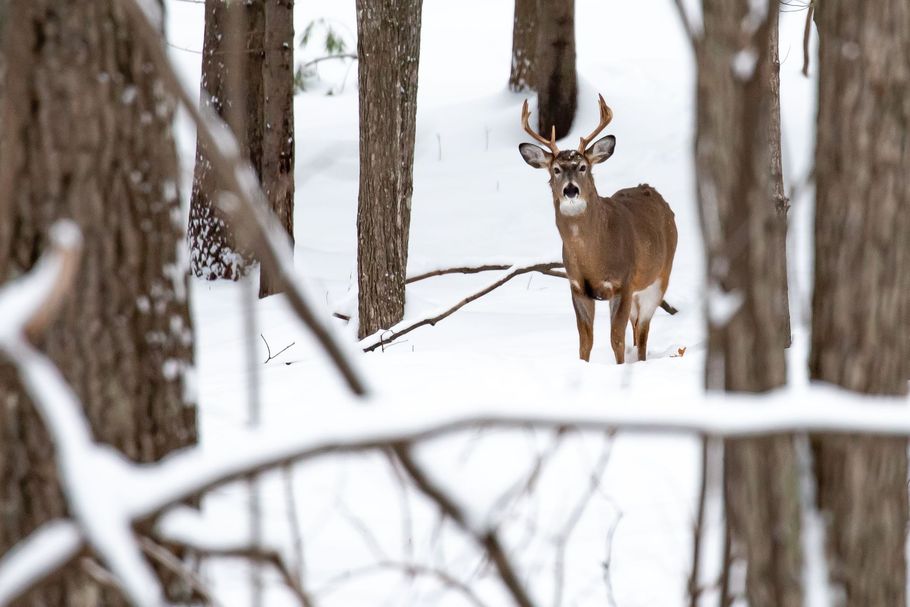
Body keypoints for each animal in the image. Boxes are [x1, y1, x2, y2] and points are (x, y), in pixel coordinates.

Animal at [518, 95, 677, 364]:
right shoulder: (577, 287)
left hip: (659, 278)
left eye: (583, 167)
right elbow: (585, 342)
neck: (593, 257)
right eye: (556, 170)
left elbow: (616, 340)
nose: (571, 190)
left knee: (643, 330)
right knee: (637, 327)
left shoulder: (623, 282)